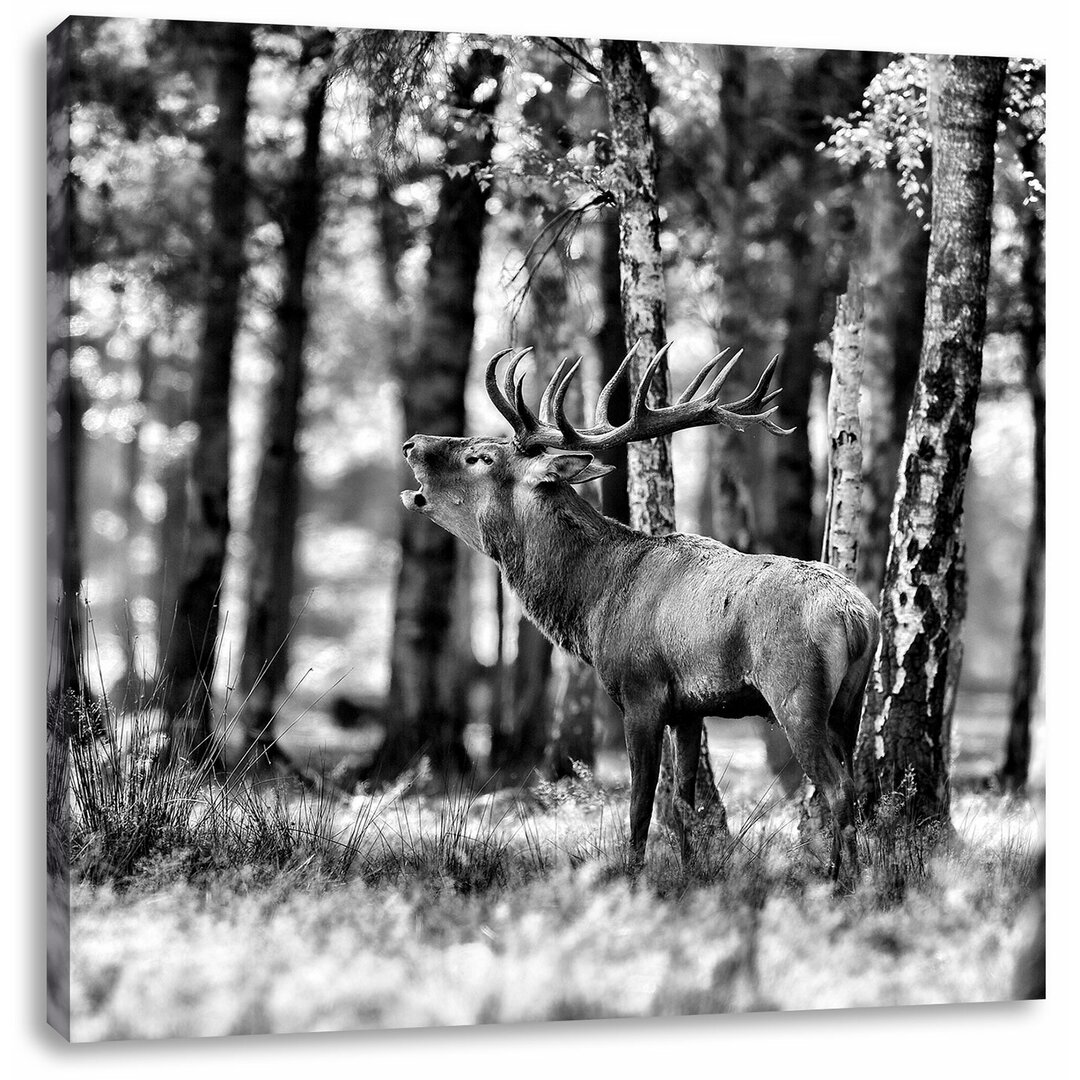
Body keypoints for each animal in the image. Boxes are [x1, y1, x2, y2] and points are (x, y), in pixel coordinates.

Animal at [401, 345, 881, 876]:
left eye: (480, 456)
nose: (412, 443)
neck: (594, 605)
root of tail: (857, 618)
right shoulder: (692, 709)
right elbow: (684, 804)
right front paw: (691, 872)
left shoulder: (640, 692)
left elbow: (640, 805)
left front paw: (635, 876)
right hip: (850, 702)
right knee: (856, 783)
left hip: (796, 693)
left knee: (836, 787)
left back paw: (841, 879)